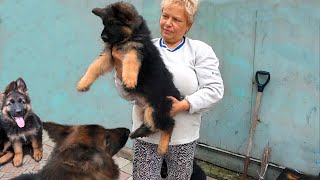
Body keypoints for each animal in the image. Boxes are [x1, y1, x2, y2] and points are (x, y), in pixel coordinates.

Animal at [75, 1, 180, 155]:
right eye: (104, 23)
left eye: (113, 23)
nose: (103, 37)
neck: (127, 38)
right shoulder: (109, 54)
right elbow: (94, 66)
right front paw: (83, 83)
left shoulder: (135, 48)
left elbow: (130, 61)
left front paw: (129, 79)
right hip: (146, 109)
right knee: (153, 126)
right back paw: (138, 132)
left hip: (156, 108)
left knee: (169, 124)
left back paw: (162, 146)